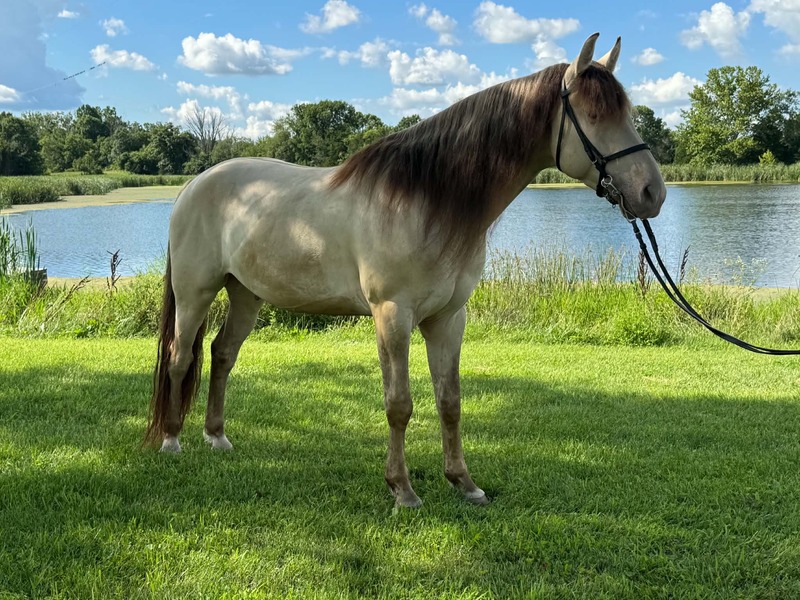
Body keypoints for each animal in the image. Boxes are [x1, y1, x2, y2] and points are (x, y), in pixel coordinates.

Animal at [146, 33, 666, 508]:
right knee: (180, 355)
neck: (425, 199)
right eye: (595, 116)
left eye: (627, 112)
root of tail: (193, 184)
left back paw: (217, 436)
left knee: (221, 354)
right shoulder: (392, 315)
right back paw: (172, 440)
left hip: (245, 294)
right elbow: (399, 404)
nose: (652, 193)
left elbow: (449, 402)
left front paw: (464, 483)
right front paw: (402, 489)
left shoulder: (448, 318)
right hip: (195, 292)